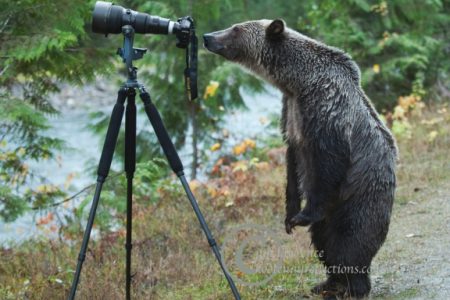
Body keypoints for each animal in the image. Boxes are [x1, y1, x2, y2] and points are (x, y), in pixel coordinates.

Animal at [204, 19, 398, 298]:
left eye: (236, 29)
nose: (208, 37)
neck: (297, 83)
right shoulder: (291, 113)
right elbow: (293, 163)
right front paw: (290, 216)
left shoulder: (326, 110)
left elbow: (328, 161)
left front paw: (302, 215)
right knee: (324, 240)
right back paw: (328, 283)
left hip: (360, 195)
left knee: (351, 241)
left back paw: (354, 286)